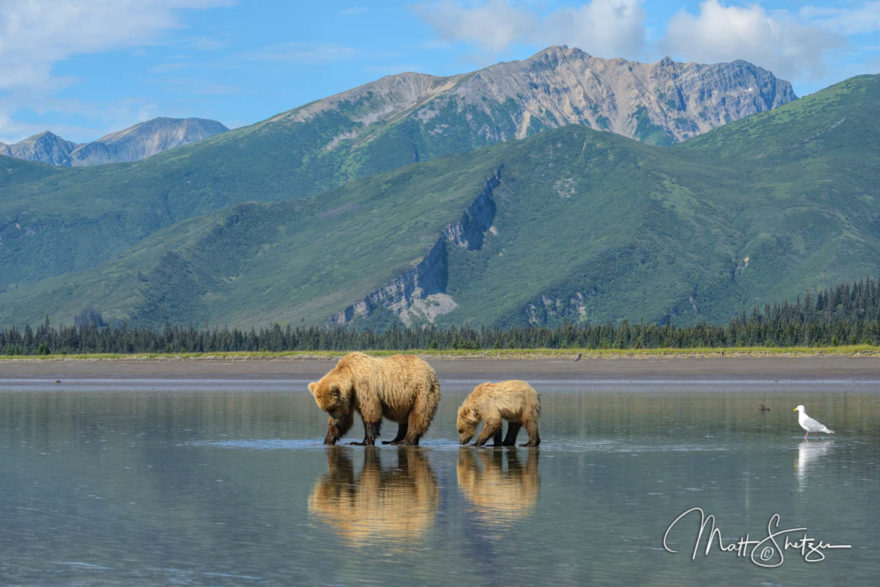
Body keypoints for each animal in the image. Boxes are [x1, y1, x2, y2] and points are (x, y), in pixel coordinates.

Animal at [308, 354, 440, 446]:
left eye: (332, 408)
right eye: (326, 410)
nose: (335, 422)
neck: (350, 376)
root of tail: (431, 370)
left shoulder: (364, 387)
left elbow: (371, 413)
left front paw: (362, 442)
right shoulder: (351, 398)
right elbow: (346, 419)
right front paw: (328, 439)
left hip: (421, 392)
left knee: (418, 416)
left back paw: (405, 441)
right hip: (405, 400)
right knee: (403, 420)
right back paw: (393, 440)